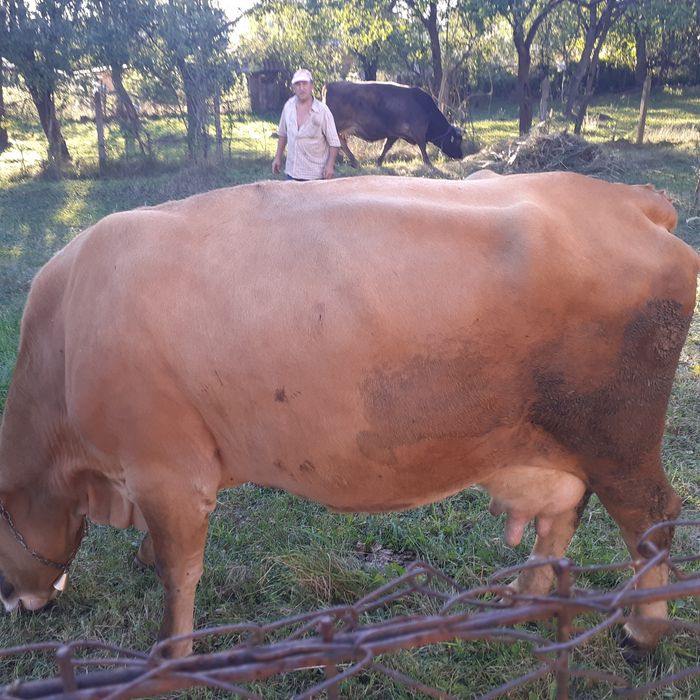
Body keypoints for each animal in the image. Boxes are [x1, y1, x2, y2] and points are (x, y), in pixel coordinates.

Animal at [0, 173, 697, 659]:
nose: (14, 601)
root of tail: (627, 200)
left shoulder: (169, 471)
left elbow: (180, 577)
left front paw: (168, 657)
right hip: (566, 444)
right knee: (562, 515)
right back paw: (523, 600)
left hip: (620, 440)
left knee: (652, 519)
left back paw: (642, 632)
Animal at [325, 80, 463, 167]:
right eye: (457, 141)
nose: (461, 156)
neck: (425, 109)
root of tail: (329, 85)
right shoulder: (419, 131)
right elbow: (423, 147)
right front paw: (428, 163)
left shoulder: (394, 134)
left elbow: (386, 147)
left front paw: (379, 162)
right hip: (336, 126)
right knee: (340, 143)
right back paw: (353, 161)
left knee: (341, 143)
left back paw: (353, 161)